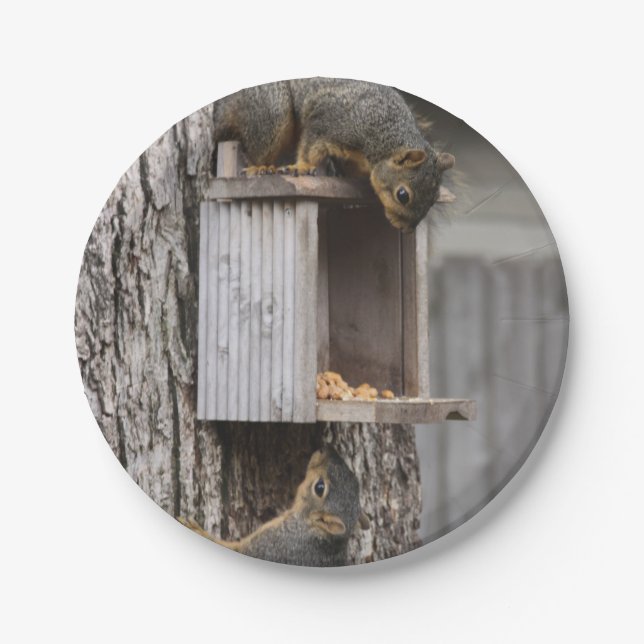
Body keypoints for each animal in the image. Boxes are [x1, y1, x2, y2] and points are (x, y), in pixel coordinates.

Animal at [213, 77, 455, 232]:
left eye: (434, 199)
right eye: (402, 195)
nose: (406, 230)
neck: (384, 135)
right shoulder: (327, 123)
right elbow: (310, 147)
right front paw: (302, 166)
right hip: (272, 110)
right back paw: (261, 167)